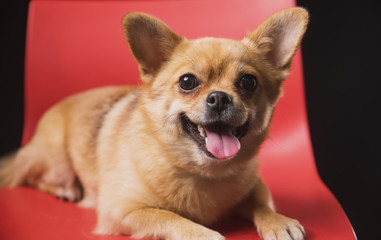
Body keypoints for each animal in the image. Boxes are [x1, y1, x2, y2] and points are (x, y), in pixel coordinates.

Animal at [0, 7, 308, 240]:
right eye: (187, 82)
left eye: (248, 82)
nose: (219, 97)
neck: (203, 172)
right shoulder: (121, 211)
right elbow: (168, 217)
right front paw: (202, 233)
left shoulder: (255, 186)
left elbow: (261, 202)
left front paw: (279, 221)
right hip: (57, 162)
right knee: (33, 177)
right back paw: (66, 190)